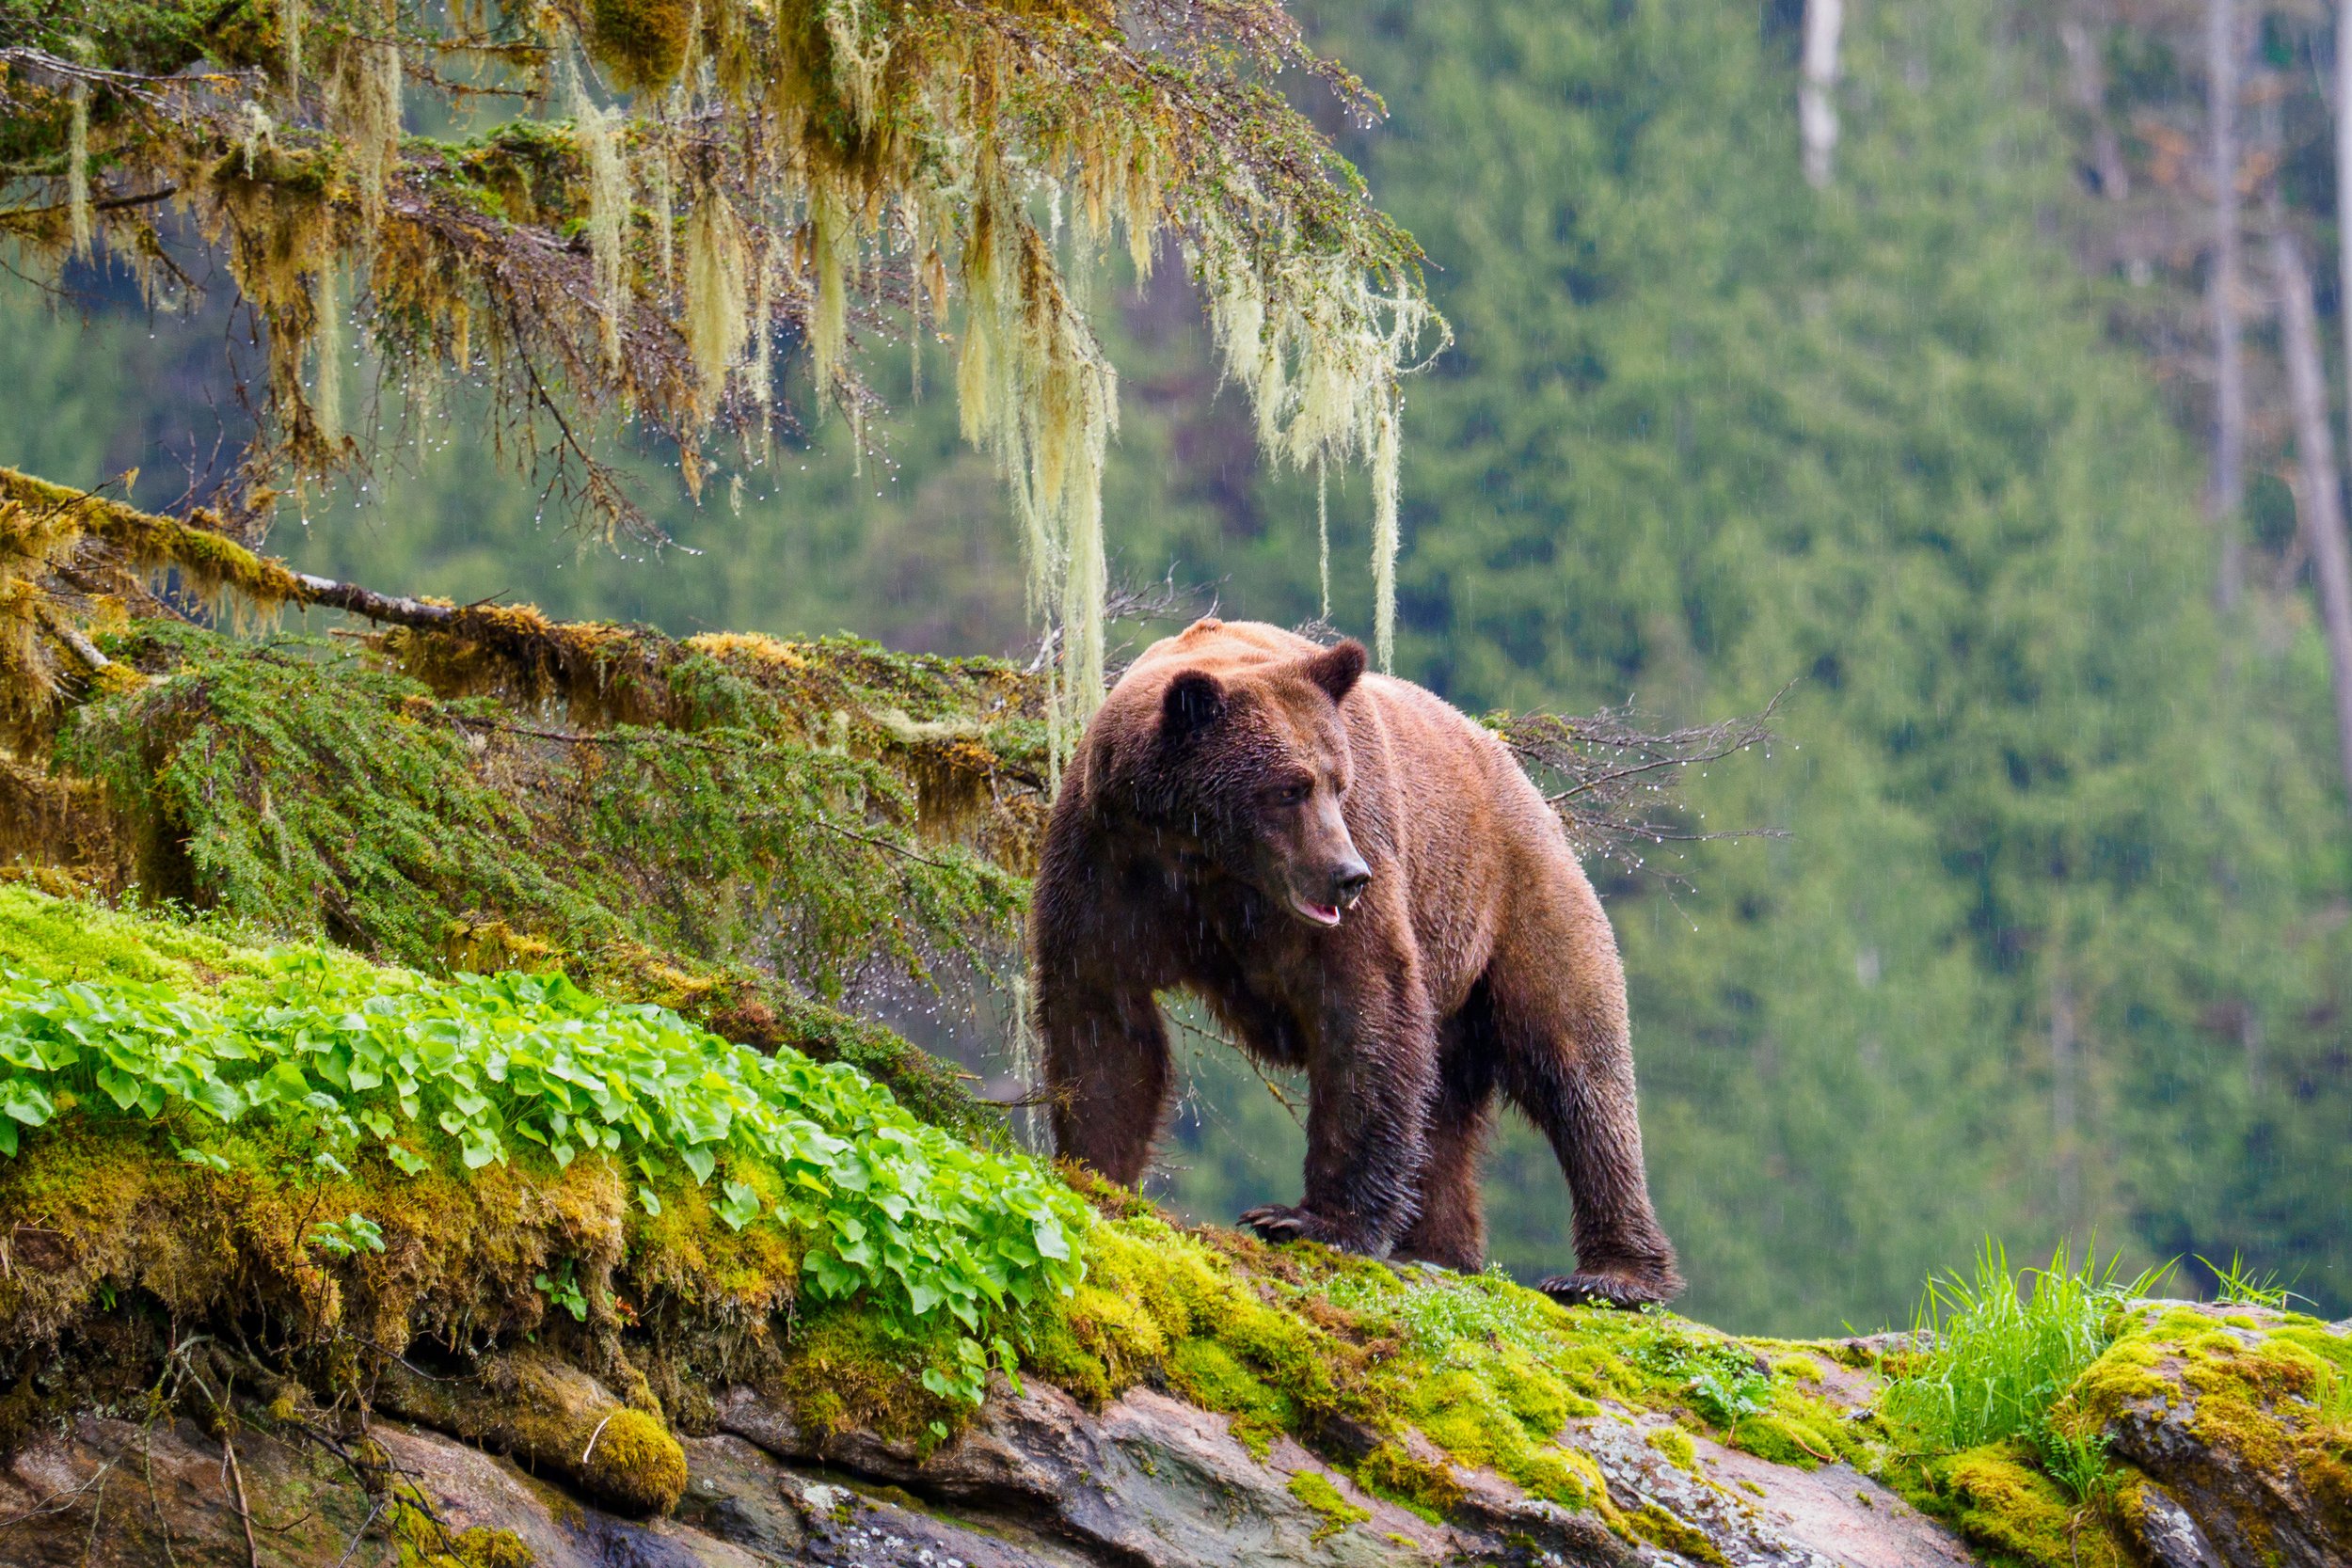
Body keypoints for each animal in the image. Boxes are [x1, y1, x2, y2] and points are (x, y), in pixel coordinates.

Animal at [1031, 617, 1683, 1307]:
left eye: (1336, 781)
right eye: (1289, 788)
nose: (1348, 876)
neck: (1207, 859)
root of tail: (1519, 775)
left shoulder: (1356, 870)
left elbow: (1364, 1010)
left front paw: (1309, 1218)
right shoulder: (1110, 863)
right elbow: (1102, 1021)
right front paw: (1095, 1171)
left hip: (1514, 899)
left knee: (1577, 1070)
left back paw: (1610, 1274)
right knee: (1444, 1109)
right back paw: (1440, 1248)